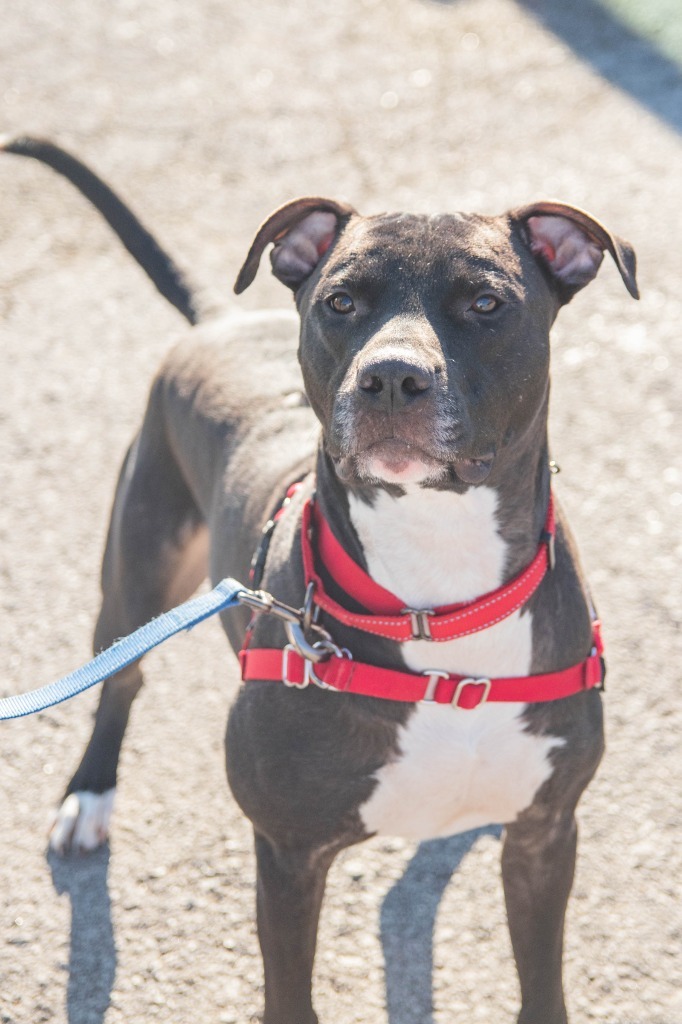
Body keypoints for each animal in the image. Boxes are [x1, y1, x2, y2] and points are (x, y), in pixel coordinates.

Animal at [2, 138, 634, 1024]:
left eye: (484, 302)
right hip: (137, 568)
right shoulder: (290, 854)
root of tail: (221, 317)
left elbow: (542, 981)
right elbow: (289, 993)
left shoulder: (546, 838)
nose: (393, 377)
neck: (439, 592)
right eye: (341, 301)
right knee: (119, 677)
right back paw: (90, 795)